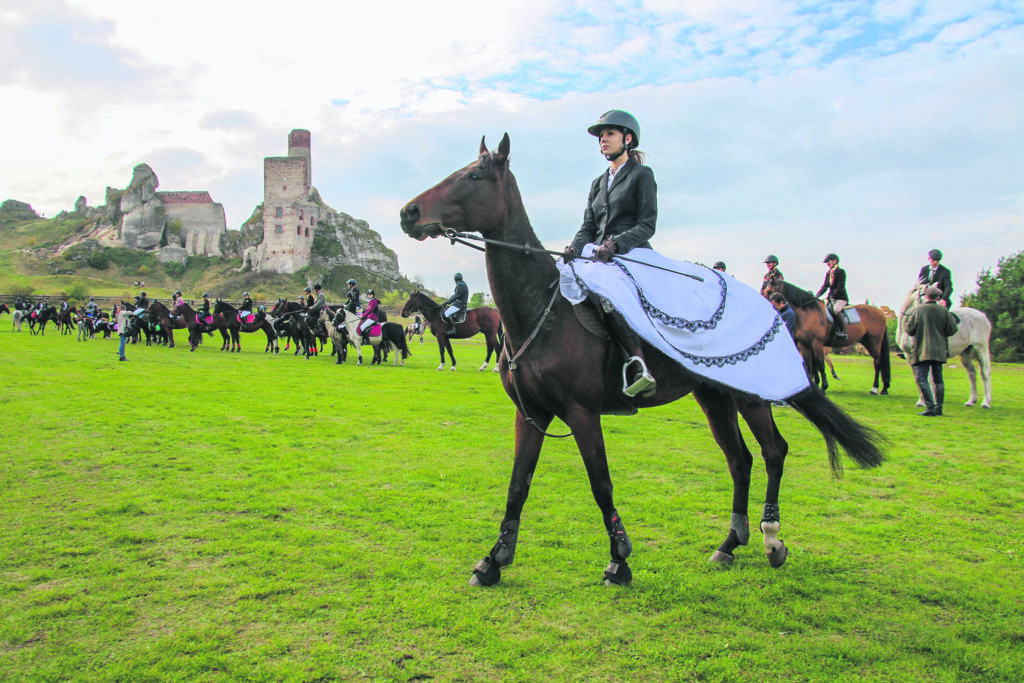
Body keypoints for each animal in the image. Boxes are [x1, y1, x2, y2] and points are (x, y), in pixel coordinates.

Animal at [395, 135, 884, 589]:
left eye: (473, 176)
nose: (409, 213)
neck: (542, 312)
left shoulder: (582, 413)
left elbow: (601, 483)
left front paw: (619, 559)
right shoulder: (530, 413)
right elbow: (518, 485)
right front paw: (493, 561)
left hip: (750, 394)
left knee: (773, 451)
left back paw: (771, 538)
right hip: (714, 396)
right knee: (739, 460)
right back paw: (729, 543)